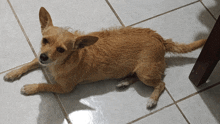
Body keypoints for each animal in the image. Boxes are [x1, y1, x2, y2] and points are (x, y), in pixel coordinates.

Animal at [3, 7, 206, 108]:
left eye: (61, 49)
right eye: (44, 40)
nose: (44, 57)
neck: (60, 63)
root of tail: (160, 39)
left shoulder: (65, 89)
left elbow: (46, 85)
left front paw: (30, 87)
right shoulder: (39, 59)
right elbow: (29, 63)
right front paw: (13, 73)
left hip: (145, 72)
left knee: (161, 83)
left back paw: (152, 99)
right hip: (140, 71)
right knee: (140, 77)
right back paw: (124, 82)